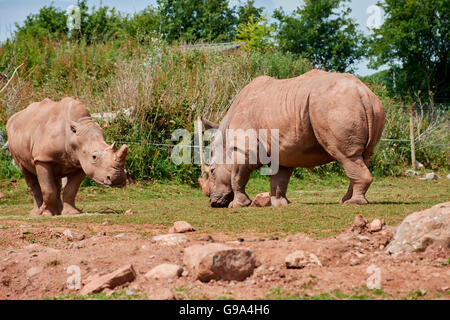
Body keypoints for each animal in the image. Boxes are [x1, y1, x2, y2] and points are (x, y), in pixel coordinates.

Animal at [199, 69, 384, 208]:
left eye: (212, 171)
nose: (214, 203)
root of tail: (362, 91)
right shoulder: (282, 150)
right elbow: (279, 178)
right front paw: (279, 203)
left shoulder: (243, 148)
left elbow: (237, 176)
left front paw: (237, 205)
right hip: (371, 106)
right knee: (363, 156)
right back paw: (346, 200)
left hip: (335, 105)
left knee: (346, 156)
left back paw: (354, 203)